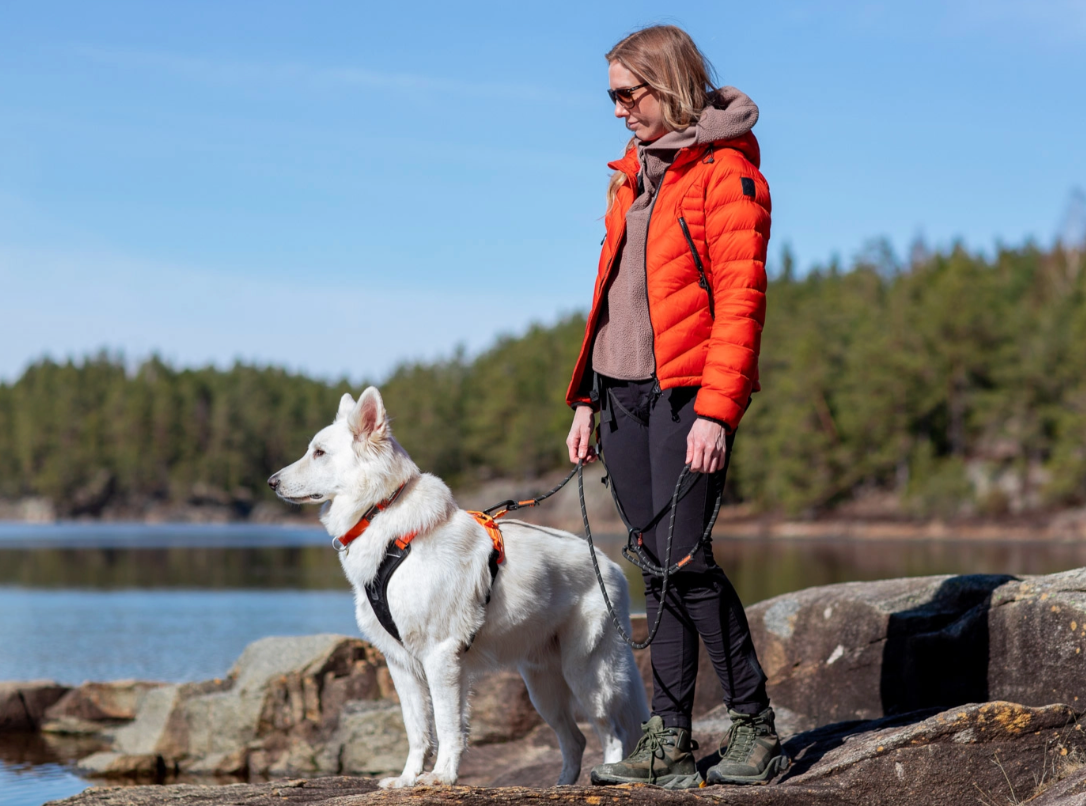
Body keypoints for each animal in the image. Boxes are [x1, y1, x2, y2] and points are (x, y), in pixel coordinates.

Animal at [268, 388, 647, 790]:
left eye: (319, 452)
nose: (271, 482)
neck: (384, 516)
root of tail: (609, 564)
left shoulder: (441, 658)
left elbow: (448, 725)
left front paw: (441, 776)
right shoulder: (401, 664)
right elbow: (417, 729)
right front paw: (407, 779)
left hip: (587, 674)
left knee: (614, 733)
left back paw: (606, 776)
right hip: (541, 686)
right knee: (574, 739)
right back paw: (560, 786)